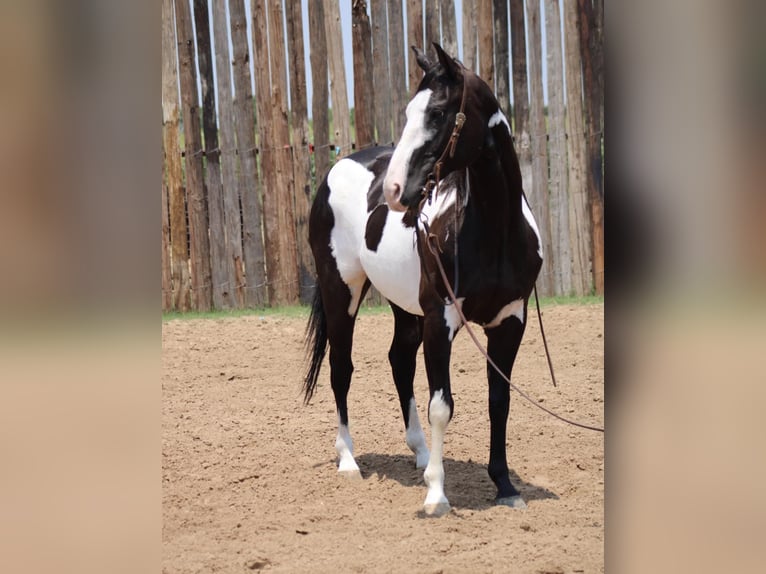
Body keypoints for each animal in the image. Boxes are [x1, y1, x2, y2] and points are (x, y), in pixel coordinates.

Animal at [304, 42, 544, 516]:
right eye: (408, 112)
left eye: (437, 113)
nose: (395, 191)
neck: (495, 230)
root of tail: (338, 168)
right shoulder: (440, 319)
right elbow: (441, 405)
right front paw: (436, 494)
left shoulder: (510, 321)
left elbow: (499, 400)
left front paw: (505, 485)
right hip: (342, 290)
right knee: (342, 367)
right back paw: (348, 460)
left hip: (403, 306)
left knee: (399, 360)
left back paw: (418, 451)